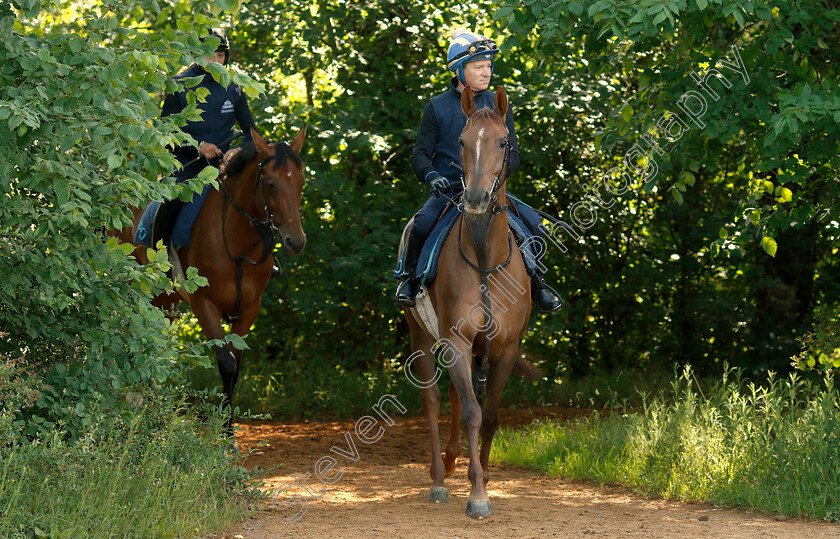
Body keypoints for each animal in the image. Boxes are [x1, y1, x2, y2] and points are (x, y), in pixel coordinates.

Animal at [116, 125, 304, 434]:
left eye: (301, 182)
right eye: (271, 183)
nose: (295, 242)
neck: (238, 244)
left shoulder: (250, 307)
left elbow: (236, 364)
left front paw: (229, 432)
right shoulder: (204, 303)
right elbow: (226, 363)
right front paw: (224, 434)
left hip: (166, 299)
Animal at [400, 87, 532, 520]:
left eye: (504, 142)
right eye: (461, 141)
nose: (474, 198)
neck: (485, 256)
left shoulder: (505, 348)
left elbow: (488, 415)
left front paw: (484, 477)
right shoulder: (455, 340)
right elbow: (473, 411)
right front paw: (477, 494)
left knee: (459, 396)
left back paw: (455, 460)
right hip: (422, 336)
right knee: (434, 399)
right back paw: (440, 478)